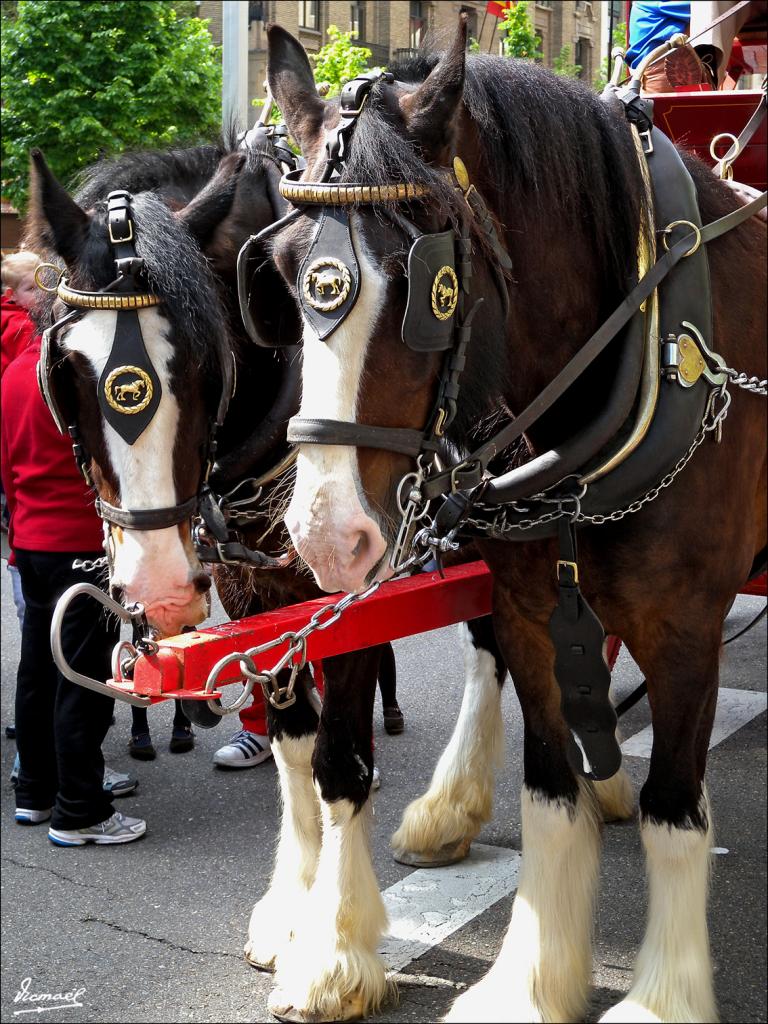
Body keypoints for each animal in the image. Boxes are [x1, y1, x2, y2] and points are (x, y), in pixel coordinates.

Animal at [266, 18, 768, 1024]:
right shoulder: (533, 606)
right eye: (285, 269)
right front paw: (531, 982)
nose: (328, 536)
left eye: (429, 284)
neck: (646, 340)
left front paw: (662, 998)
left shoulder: (689, 624)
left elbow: (675, 811)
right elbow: (549, 793)